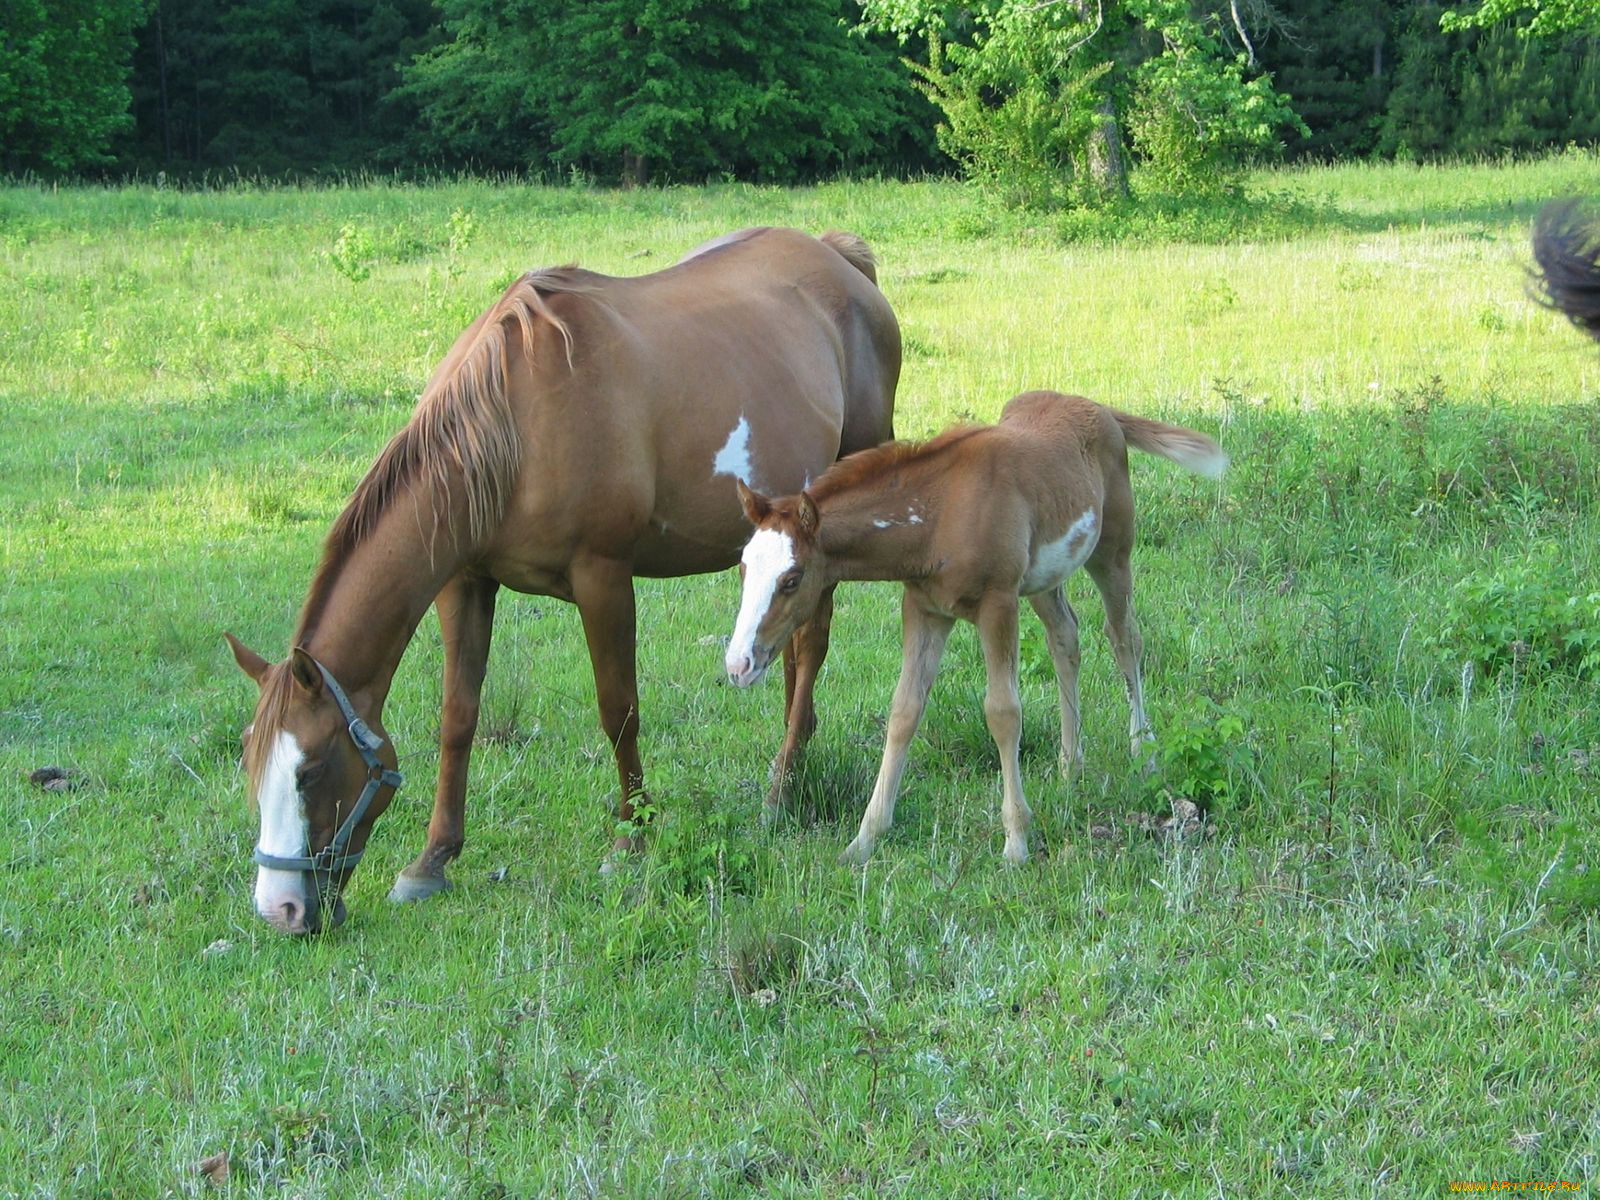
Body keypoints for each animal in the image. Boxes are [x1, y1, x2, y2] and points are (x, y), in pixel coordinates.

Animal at [227, 227, 902, 940]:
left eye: (310, 772)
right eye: (250, 762)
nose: (280, 909)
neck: (514, 425)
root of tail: (838, 258)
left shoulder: (602, 575)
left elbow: (619, 712)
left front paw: (631, 839)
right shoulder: (464, 583)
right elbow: (458, 717)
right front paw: (432, 859)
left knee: (814, 641)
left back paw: (780, 784)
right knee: (794, 647)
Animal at [726, 390, 1222, 870]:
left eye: (792, 579)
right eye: (744, 567)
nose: (738, 664)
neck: (940, 514)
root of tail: (1099, 408)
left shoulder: (998, 603)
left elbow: (1003, 713)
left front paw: (1016, 841)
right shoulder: (924, 608)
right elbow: (904, 712)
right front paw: (863, 840)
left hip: (1112, 552)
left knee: (1124, 638)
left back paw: (1144, 752)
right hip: (1044, 578)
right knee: (1065, 637)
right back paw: (1070, 767)